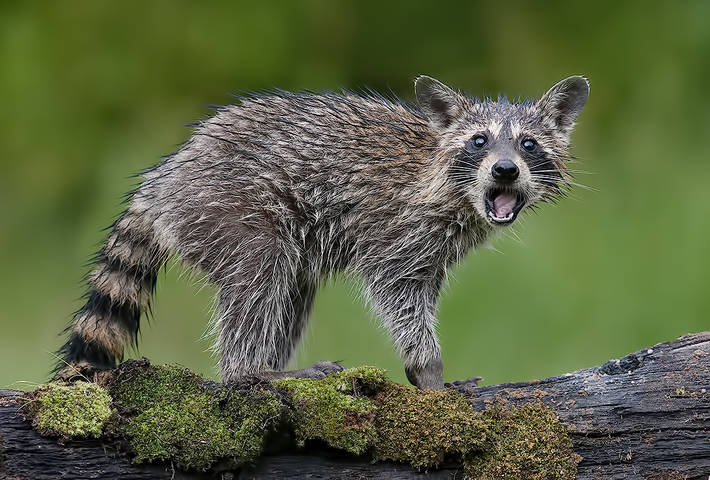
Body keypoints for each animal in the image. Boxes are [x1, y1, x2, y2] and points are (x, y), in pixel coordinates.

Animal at [54, 75, 588, 390]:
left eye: (528, 144)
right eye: (479, 141)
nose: (504, 170)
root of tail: (163, 180)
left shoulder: (434, 247)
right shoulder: (397, 228)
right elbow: (398, 293)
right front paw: (428, 370)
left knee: (290, 292)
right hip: (230, 208)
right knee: (257, 279)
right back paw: (251, 372)